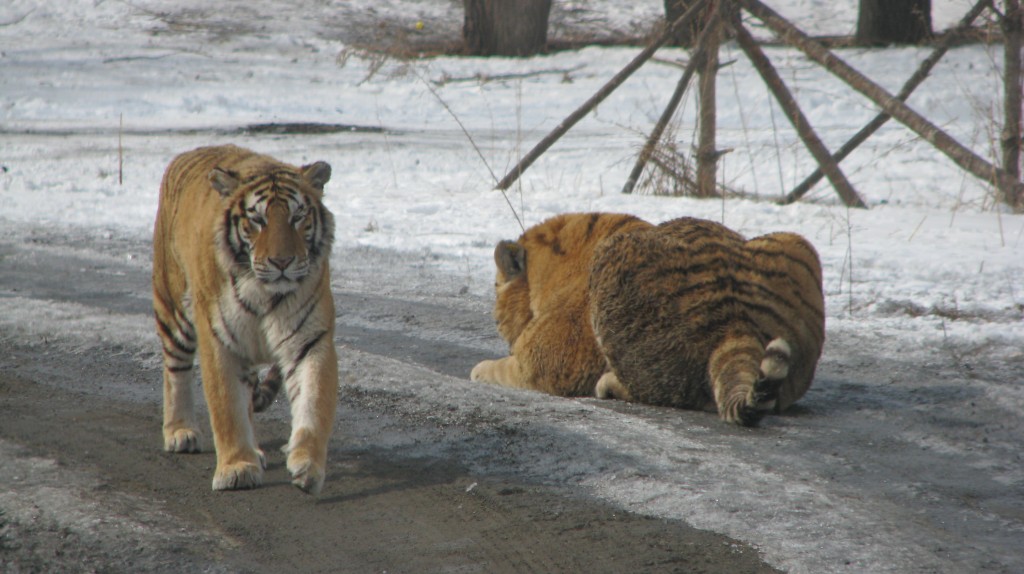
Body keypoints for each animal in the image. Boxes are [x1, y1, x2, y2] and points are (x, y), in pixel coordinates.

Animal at [151, 144, 337, 493]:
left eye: (297, 217)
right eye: (257, 220)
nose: (282, 262)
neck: (266, 293)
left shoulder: (309, 341)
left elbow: (313, 403)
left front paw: (307, 465)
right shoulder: (219, 340)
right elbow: (227, 408)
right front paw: (236, 468)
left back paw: (259, 451)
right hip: (173, 308)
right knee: (175, 371)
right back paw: (180, 432)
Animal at [471, 212, 823, 423]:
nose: (496, 319)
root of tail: (737, 323)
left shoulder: (545, 363)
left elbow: (495, 369)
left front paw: (478, 370)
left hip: (615, 265)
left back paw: (608, 385)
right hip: (796, 243)